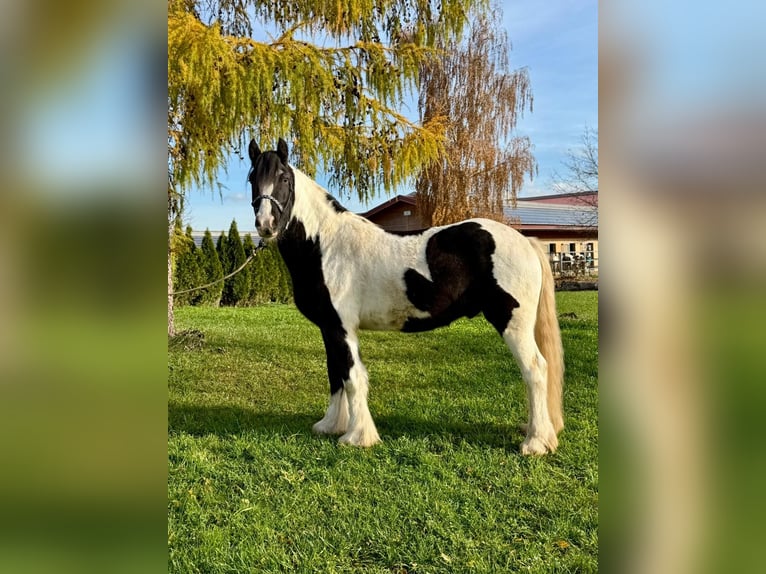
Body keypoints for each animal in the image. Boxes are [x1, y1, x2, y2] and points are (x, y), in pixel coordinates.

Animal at [248, 138, 564, 455]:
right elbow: (335, 374)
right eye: (253, 179)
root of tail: (524, 241)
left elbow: (352, 377)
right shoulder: (329, 327)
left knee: (535, 370)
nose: (266, 224)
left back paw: (535, 443)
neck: (325, 245)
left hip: (513, 323)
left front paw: (358, 437)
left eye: (283, 178)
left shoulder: (342, 327)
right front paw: (330, 425)